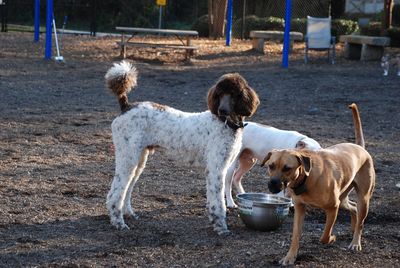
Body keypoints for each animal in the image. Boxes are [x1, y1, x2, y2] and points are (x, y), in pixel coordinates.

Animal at [104, 61, 260, 234]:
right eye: (219, 94)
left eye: (234, 94)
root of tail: (126, 106)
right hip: (128, 157)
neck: (224, 123)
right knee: (115, 193)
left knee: (126, 188)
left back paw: (129, 214)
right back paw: (118, 222)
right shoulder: (216, 169)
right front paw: (220, 226)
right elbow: (218, 202)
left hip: (139, 159)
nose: (222, 110)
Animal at [262, 103, 376, 264]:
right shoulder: (300, 208)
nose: (272, 185)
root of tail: (360, 148)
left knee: (361, 220)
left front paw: (332, 238)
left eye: (287, 168)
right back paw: (353, 228)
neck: (307, 179)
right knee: (354, 208)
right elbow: (295, 236)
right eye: (271, 166)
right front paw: (290, 257)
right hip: (343, 198)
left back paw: (355, 242)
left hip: (363, 198)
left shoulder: (333, 208)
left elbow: (325, 236)